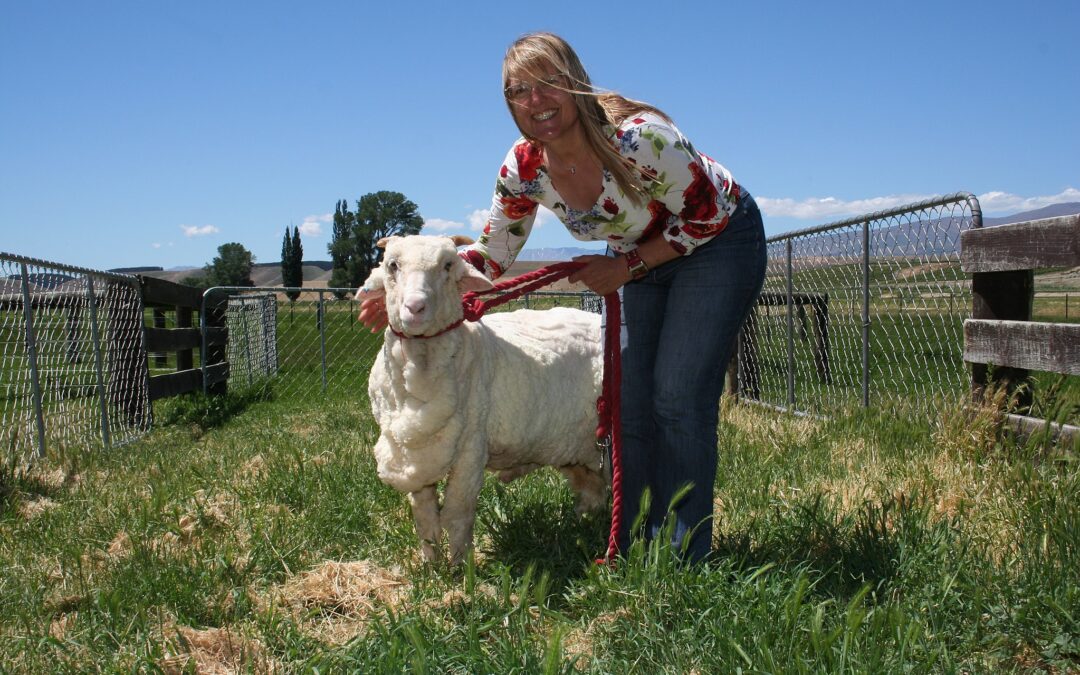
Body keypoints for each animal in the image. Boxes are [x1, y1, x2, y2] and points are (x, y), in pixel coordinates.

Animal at [356, 234, 604, 561]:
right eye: (392, 265)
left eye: (448, 265)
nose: (415, 307)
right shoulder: (416, 454)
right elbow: (426, 519)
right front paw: (430, 565)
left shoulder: (471, 448)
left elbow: (457, 514)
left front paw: (460, 565)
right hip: (575, 445)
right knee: (591, 490)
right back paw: (582, 527)